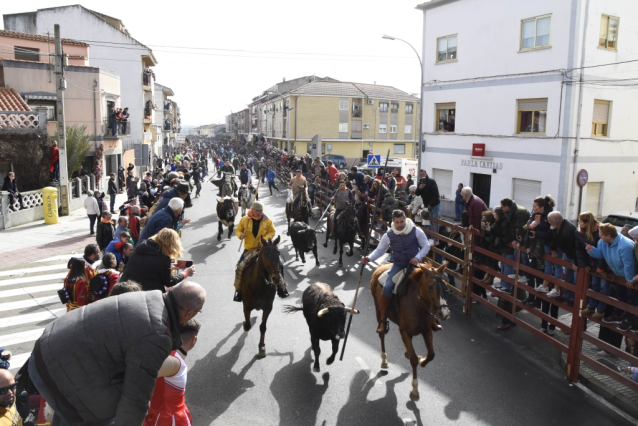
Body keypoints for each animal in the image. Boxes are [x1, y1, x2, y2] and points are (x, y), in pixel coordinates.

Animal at [368, 262, 452, 402]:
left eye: (445, 285)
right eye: (430, 286)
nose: (444, 313)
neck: (418, 304)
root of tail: (382, 265)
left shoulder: (427, 331)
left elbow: (431, 354)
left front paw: (422, 361)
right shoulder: (405, 332)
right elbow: (413, 359)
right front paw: (415, 389)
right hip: (378, 311)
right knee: (381, 335)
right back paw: (384, 360)